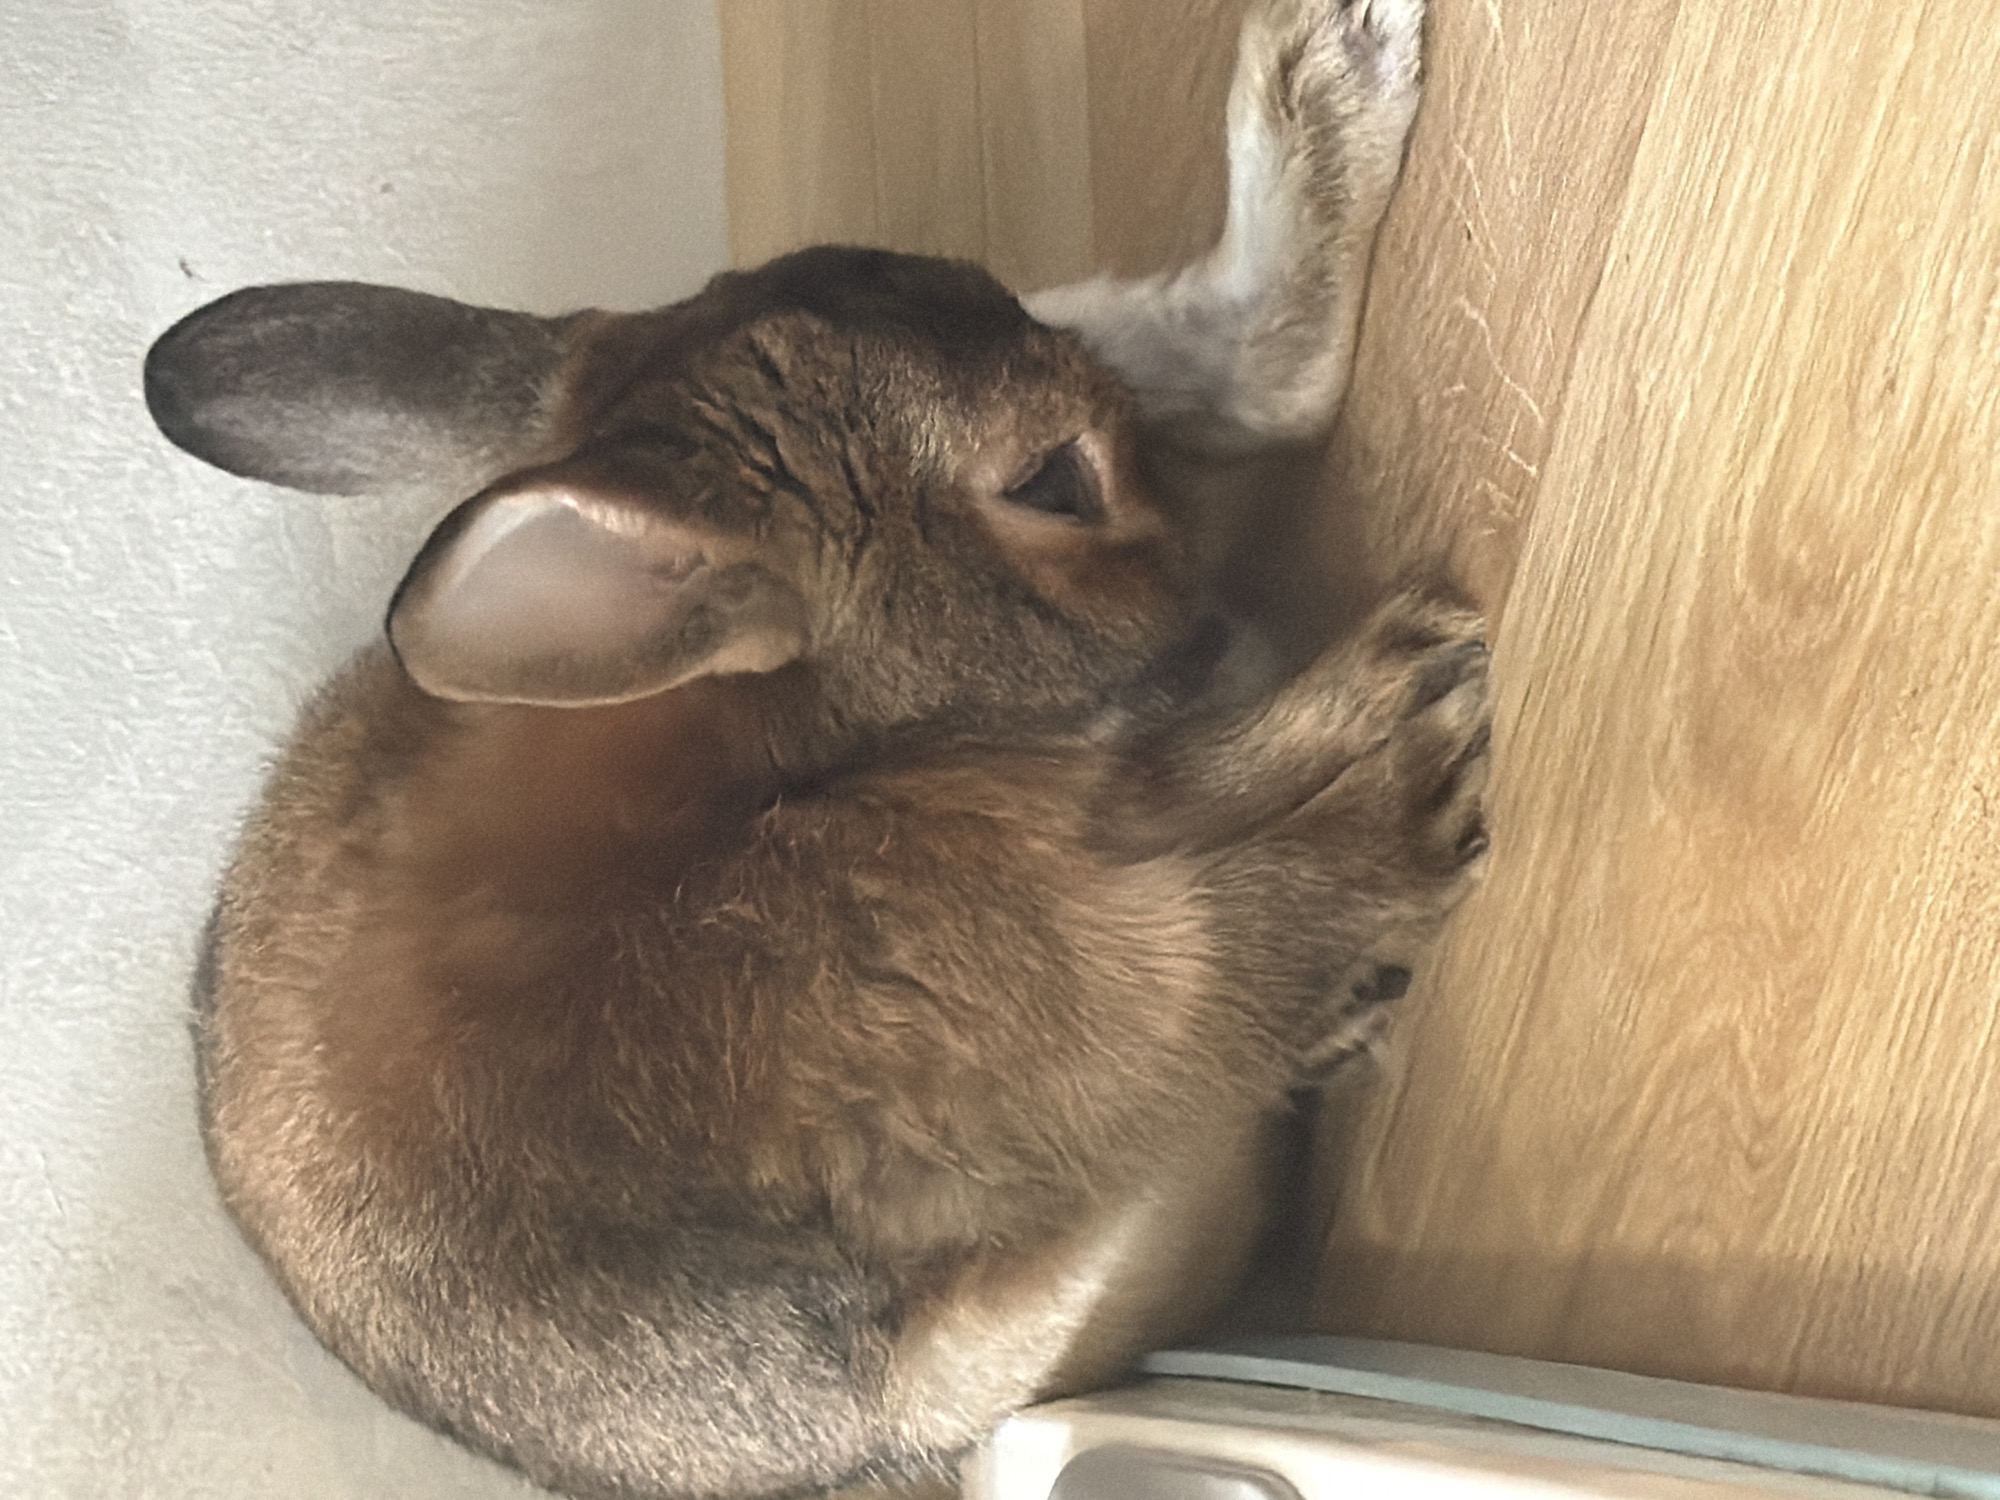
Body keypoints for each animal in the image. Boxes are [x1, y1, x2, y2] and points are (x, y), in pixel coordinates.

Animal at [144, 1, 1483, 1497]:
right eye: (1048, 482)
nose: (1185, 603)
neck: (786, 712)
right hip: (913, 939)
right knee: (1210, 956)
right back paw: (1400, 752)